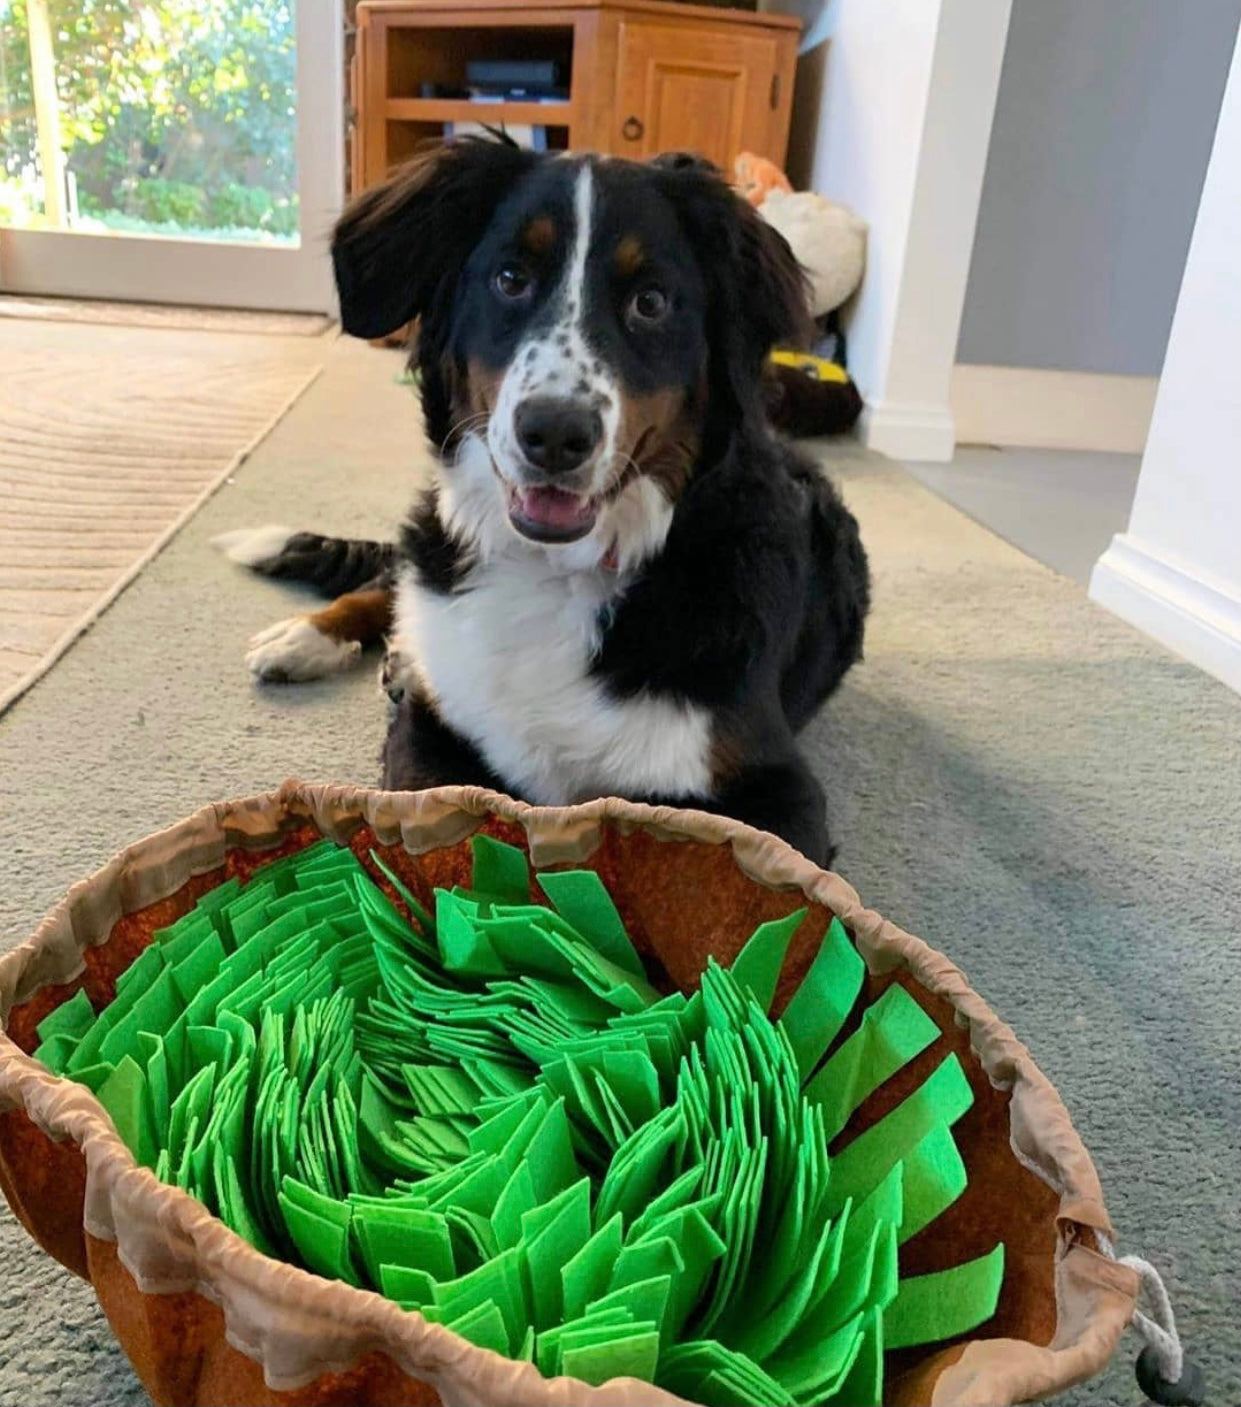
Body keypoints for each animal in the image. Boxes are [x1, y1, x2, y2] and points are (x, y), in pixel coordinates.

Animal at [215, 142, 872, 866]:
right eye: (510, 278)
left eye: (650, 301)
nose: (555, 433)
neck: (556, 574)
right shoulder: (433, 731)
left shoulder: (776, 791)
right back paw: (307, 636)